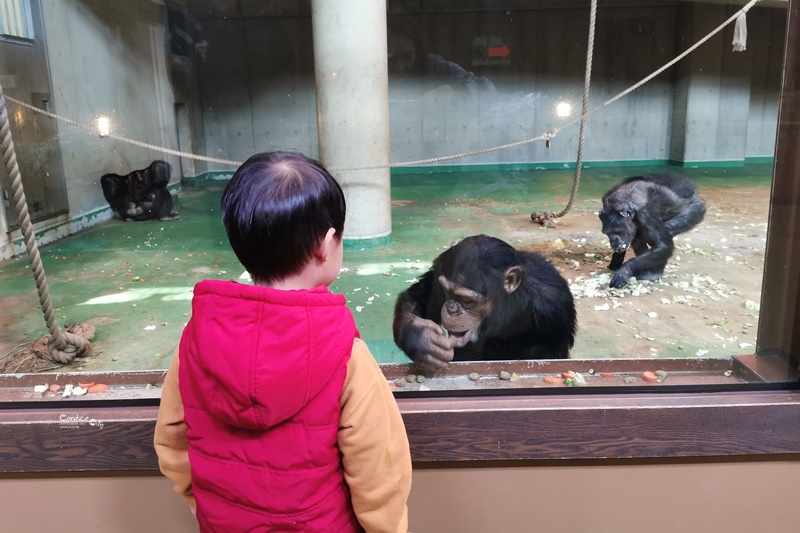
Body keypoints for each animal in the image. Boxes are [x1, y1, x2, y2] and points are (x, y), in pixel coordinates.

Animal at [392, 235, 576, 372]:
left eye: (467, 300)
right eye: (447, 292)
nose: (451, 308)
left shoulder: (554, 307)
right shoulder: (440, 268)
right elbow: (418, 300)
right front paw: (422, 339)